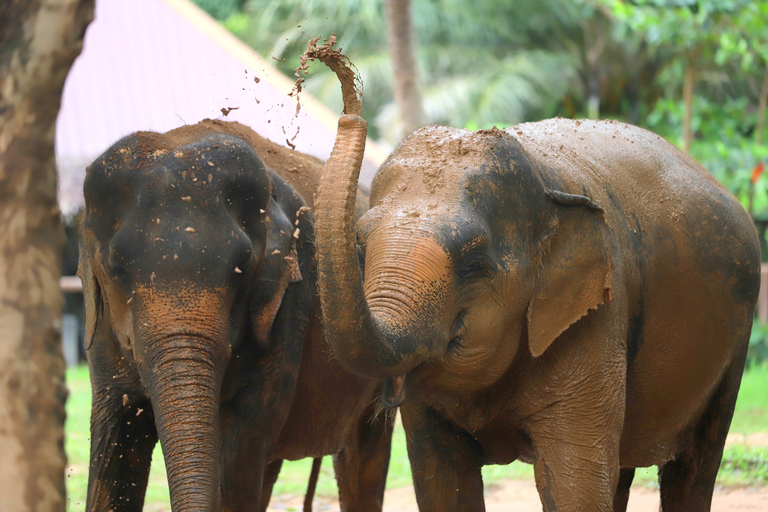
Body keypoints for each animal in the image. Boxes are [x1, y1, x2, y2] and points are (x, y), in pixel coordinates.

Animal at [79, 118, 391, 512]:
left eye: (242, 267)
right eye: (116, 269)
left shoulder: (289, 306)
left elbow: (239, 452)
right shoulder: (101, 331)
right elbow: (117, 441)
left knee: (362, 458)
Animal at [314, 113, 760, 511]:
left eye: (475, 264)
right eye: (360, 249)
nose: (350, 111)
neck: (545, 182)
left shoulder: (597, 313)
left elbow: (574, 484)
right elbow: (442, 483)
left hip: (733, 349)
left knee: (694, 470)